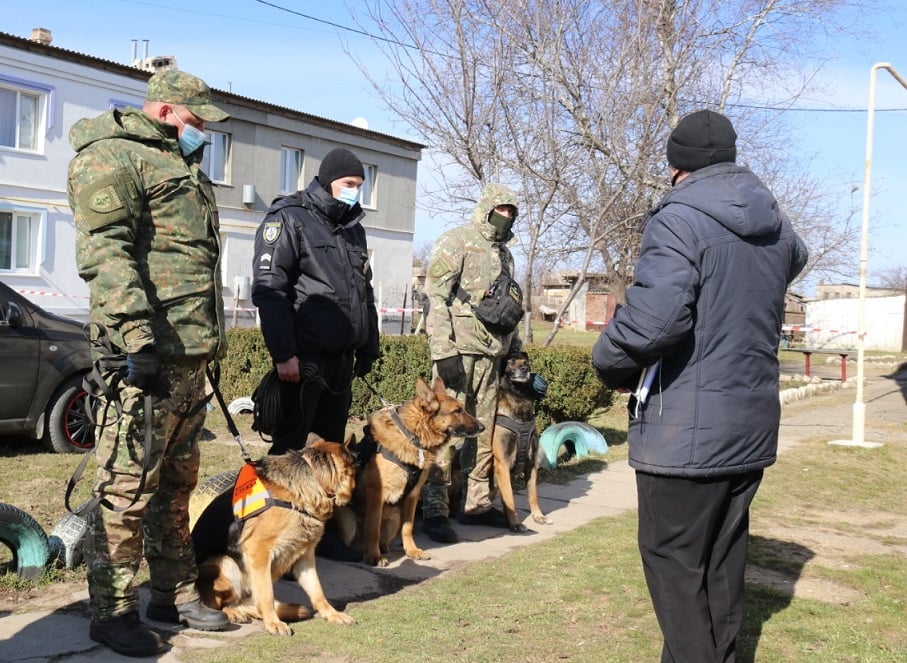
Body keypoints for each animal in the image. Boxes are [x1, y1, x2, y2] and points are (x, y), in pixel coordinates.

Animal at [197, 438, 356, 636]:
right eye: (354, 473)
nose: (353, 496)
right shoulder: (259, 552)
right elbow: (267, 595)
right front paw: (273, 623)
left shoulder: (305, 557)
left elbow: (317, 590)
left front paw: (332, 614)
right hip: (226, 564)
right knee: (218, 604)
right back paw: (232, 613)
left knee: (249, 605)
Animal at [490, 352, 552, 536]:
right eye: (510, 362)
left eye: (526, 362)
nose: (524, 369)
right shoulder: (502, 465)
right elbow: (510, 498)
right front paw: (516, 523)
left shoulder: (531, 464)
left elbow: (533, 494)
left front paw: (538, 516)